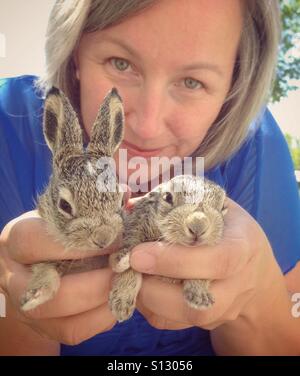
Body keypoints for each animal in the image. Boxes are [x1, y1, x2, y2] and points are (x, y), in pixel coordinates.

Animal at [108, 175, 227, 322]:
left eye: (223, 206)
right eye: (167, 197)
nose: (198, 227)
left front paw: (199, 296)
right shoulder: (134, 233)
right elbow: (129, 269)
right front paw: (121, 303)